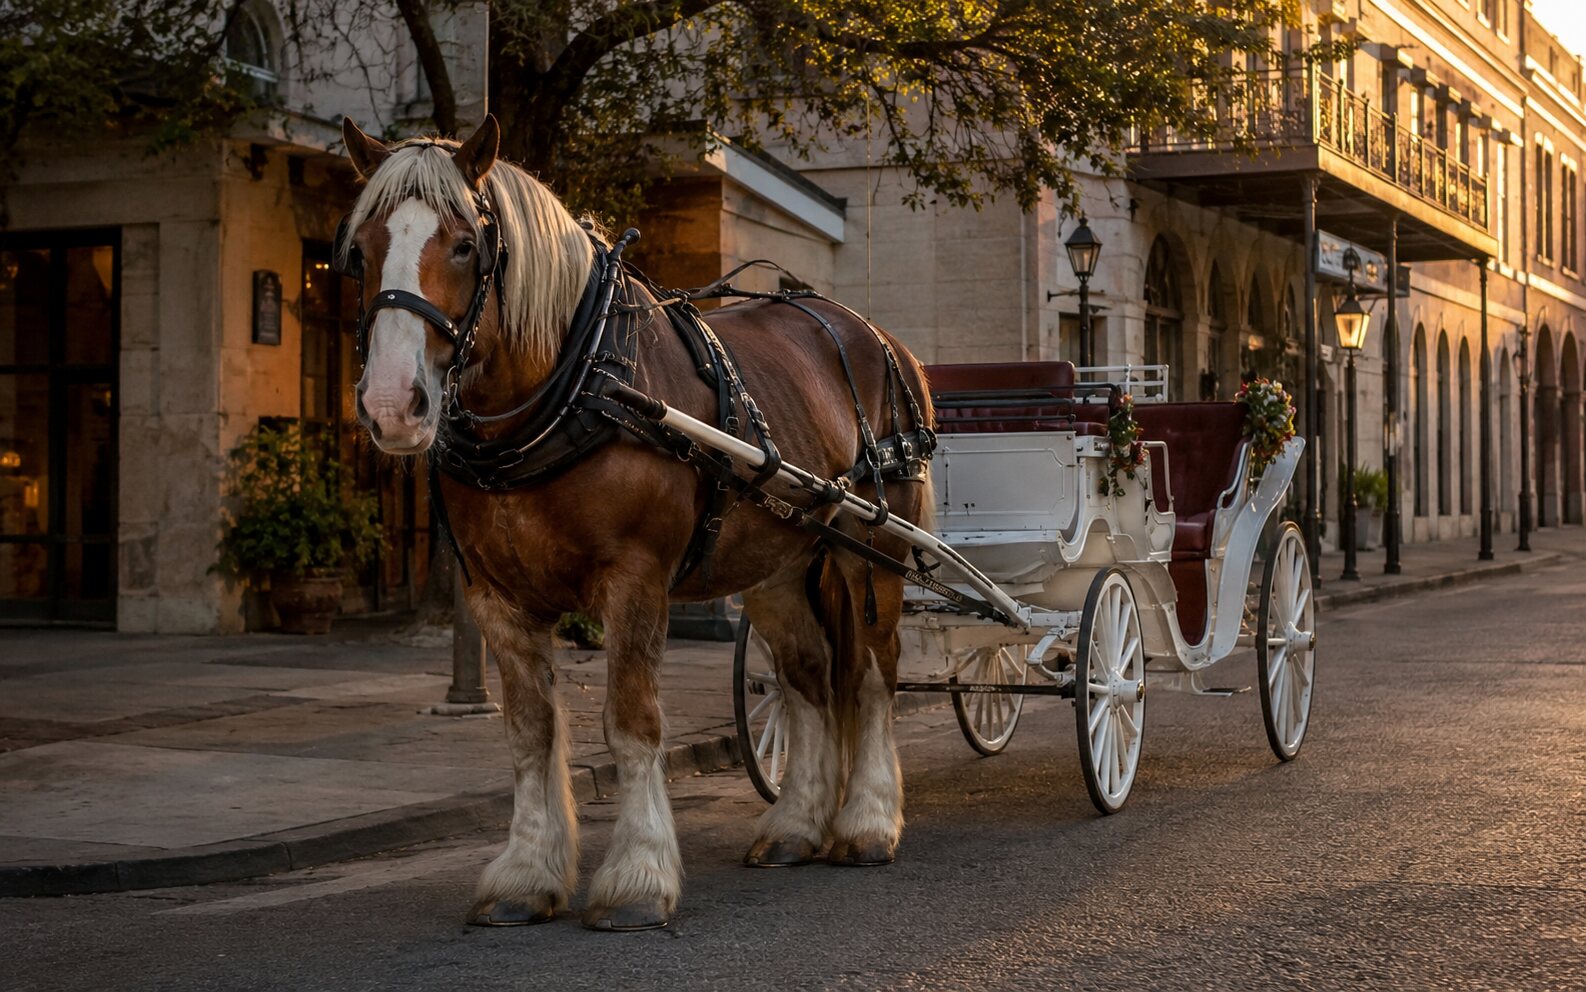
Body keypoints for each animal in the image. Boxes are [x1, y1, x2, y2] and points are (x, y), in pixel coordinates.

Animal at [338, 114, 935, 931]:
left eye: (464, 245)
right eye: (361, 249)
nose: (393, 404)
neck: (570, 392)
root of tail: (874, 333)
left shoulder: (635, 578)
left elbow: (631, 720)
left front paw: (638, 877)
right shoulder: (497, 596)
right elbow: (529, 732)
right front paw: (526, 872)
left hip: (874, 545)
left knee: (874, 672)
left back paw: (869, 822)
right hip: (777, 561)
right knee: (808, 675)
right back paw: (794, 826)